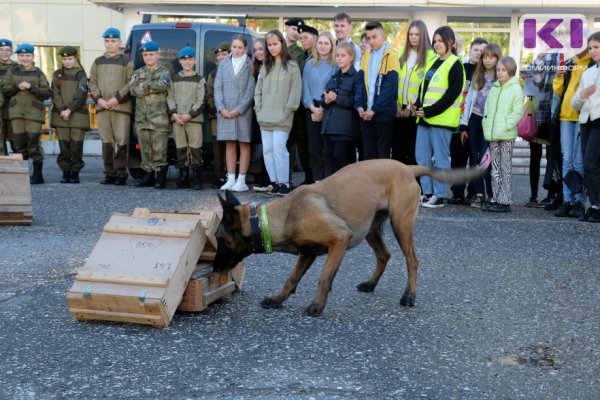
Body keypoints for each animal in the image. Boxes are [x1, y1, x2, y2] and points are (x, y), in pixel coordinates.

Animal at [216, 158, 482, 318]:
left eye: (219, 238)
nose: (214, 268)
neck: (285, 215)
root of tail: (407, 167)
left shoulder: (339, 241)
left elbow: (324, 278)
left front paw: (317, 306)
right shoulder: (308, 253)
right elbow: (291, 278)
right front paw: (277, 300)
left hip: (401, 225)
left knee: (412, 261)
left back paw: (409, 296)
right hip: (371, 229)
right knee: (384, 255)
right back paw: (371, 284)